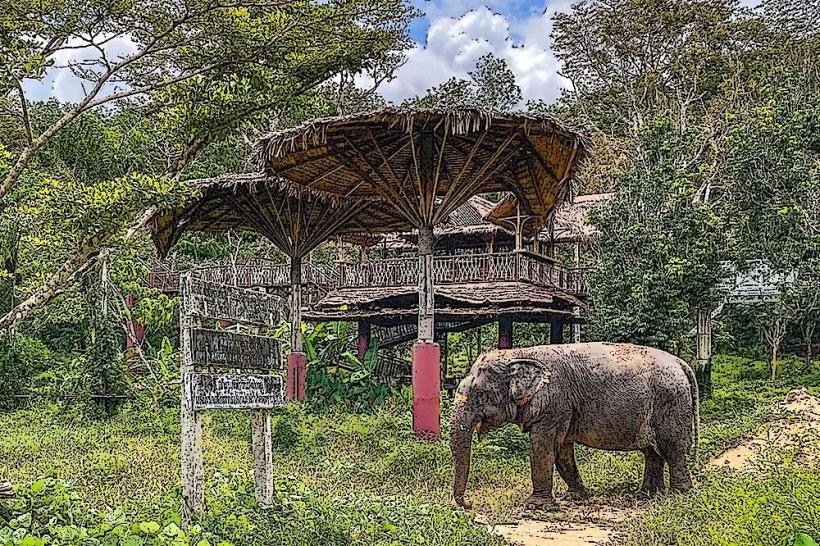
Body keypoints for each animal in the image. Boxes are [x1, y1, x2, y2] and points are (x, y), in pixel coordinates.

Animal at [448, 342, 700, 508]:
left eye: (480, 395)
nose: (469, 503)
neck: (518, 353)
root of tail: (681, 363)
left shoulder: (554, 402)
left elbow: (542, 447)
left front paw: (535, 506)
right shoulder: (564, 409)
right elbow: (562, 450)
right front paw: (578, 497)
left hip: (671, 402)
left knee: (672, 449)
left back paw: (678, 495)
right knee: (652, 452)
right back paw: (647, 495)